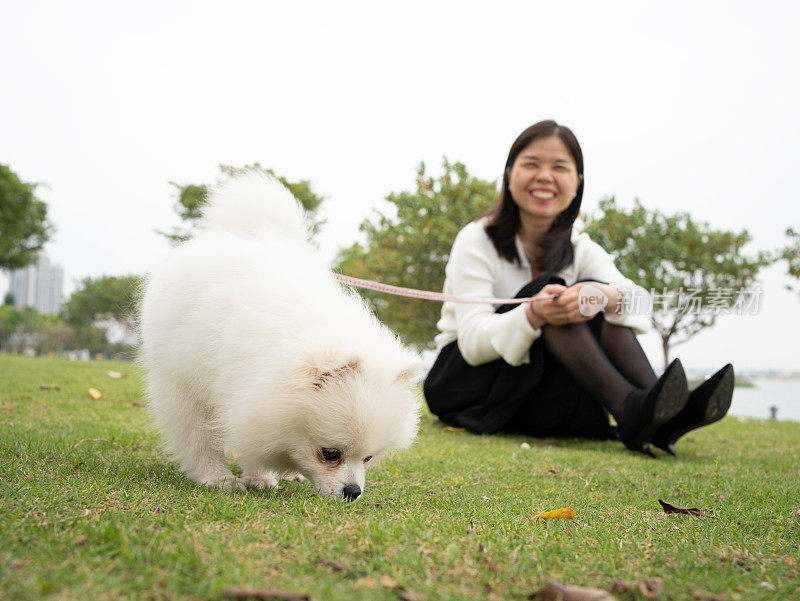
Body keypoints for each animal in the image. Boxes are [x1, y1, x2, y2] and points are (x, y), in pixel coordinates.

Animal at [140, 175, 422, 502]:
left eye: (368, 457)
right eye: (330, 453)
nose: (353, 492)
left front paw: (261, 476)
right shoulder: (191, 383)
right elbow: (200, 437)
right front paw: (216, 477)